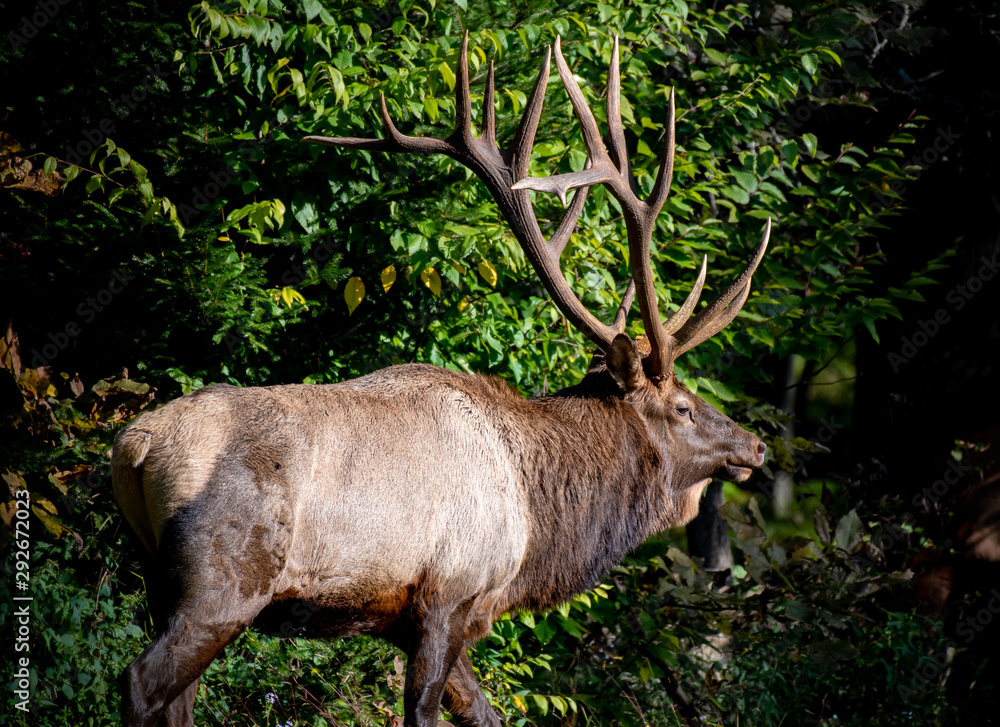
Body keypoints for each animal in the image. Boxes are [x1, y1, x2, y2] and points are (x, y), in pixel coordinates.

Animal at [113, 32, 770, 727]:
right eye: (683, 407)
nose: (755, 446)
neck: (539, 521)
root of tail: (134, 446)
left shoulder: (422, 619)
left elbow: (485, 713)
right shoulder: (447, 596)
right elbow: (426, 712)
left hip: (157, 578)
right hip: (224, 580)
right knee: (142, 680)